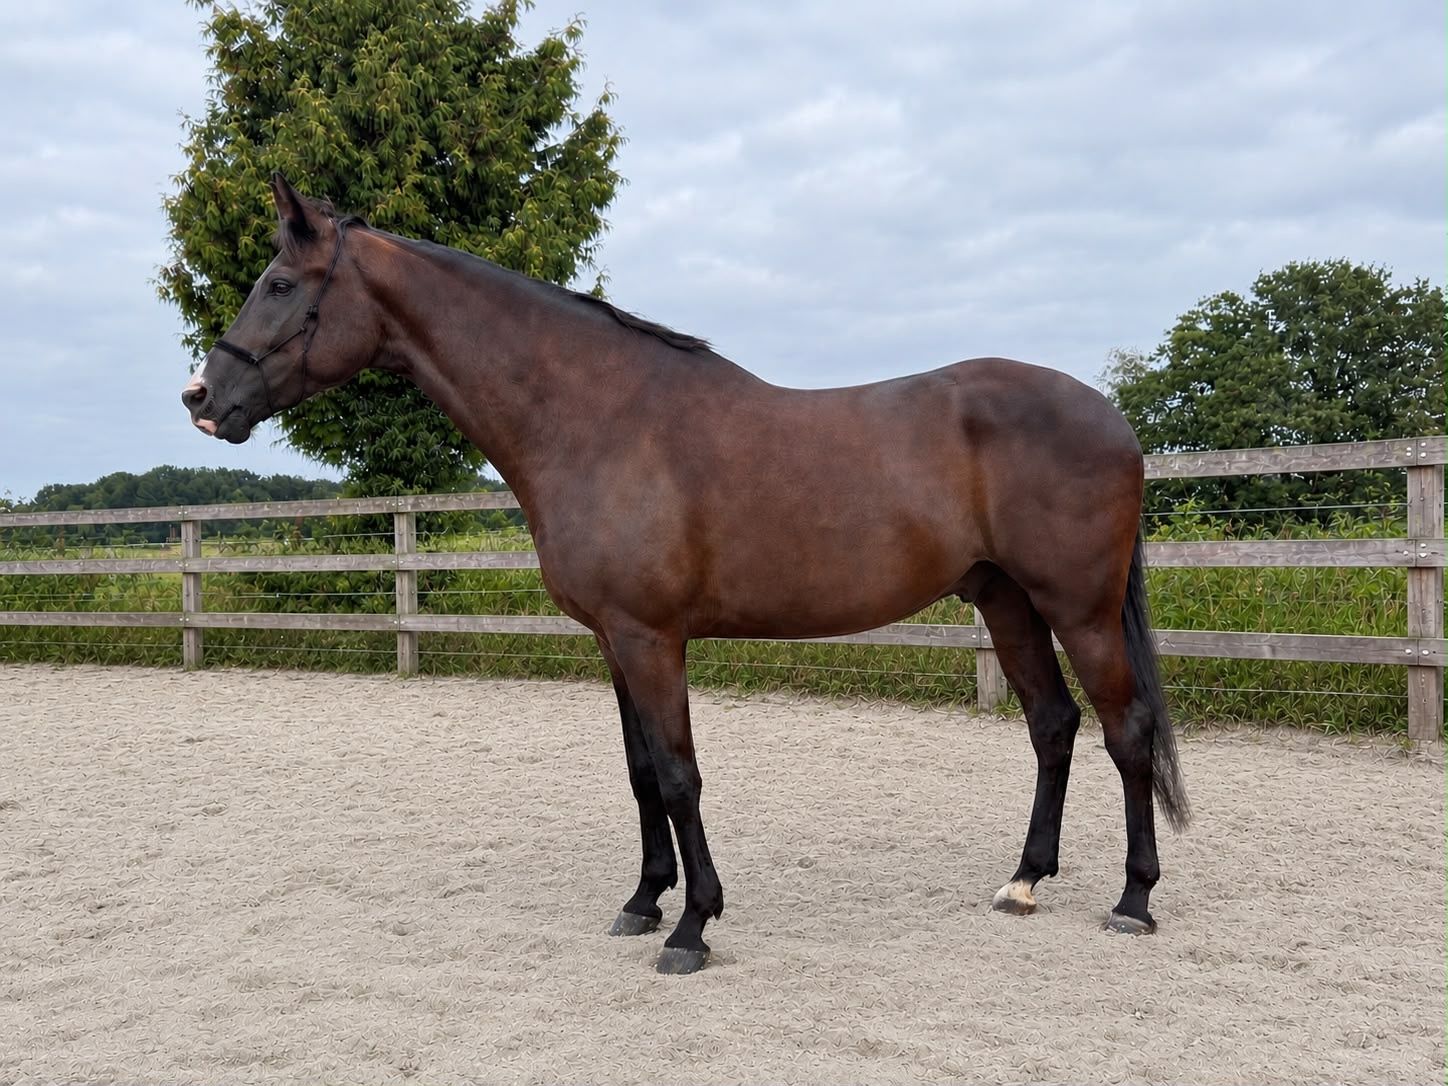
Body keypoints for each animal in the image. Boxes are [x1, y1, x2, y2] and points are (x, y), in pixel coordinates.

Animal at [182, 174, 1190, 975]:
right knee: (1053, 726)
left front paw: (693, 927)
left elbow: (678, 774)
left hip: (1079, 608)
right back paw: (1023, 881)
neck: (598, 418)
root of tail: (1112, 417)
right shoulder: (614, 641)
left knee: (1126, 730)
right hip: (1007, 601)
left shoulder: (651, 637)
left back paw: (1135, 901)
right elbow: (638, 772)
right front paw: (642, 901)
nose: (203, 399)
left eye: (280, 284)